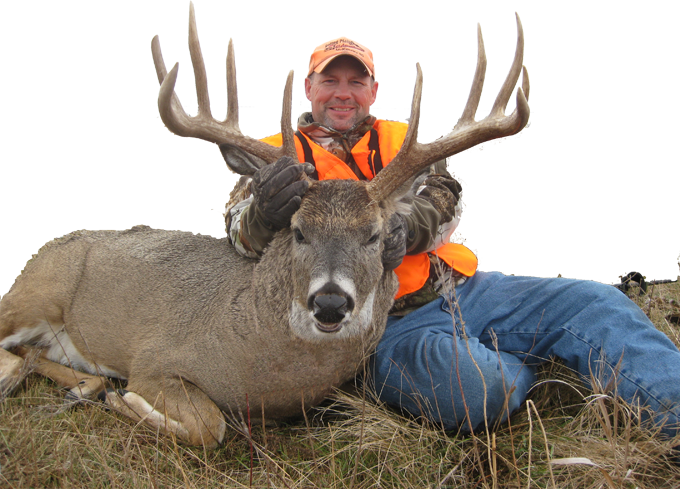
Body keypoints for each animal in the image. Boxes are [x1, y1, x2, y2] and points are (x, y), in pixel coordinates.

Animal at [0, 5, 529, 448]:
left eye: (376, 235)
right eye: (297, 230)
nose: (330, 302)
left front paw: (110, 395)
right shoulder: (153, 359)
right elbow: (210, 426)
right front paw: (123, 398)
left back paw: (81, 386)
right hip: (33, 295)